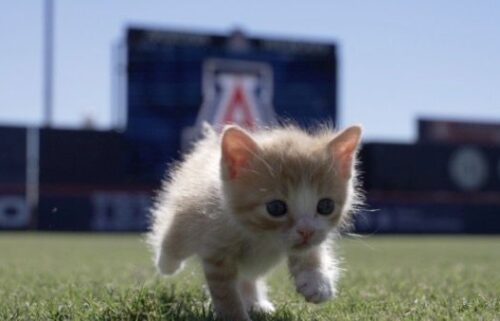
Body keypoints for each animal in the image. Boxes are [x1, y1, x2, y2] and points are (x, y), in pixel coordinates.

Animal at [148, 123, 364, 320]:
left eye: (326, 206)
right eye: (276, 208)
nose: (306, 231)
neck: (261, 236)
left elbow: (310, 250)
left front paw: (317, 282)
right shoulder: (216, 249)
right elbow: (225, 293)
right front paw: (234, 316)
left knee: (246, 275)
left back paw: (255, 303)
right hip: (187, 217)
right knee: (175, 238)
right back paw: (165, 262)